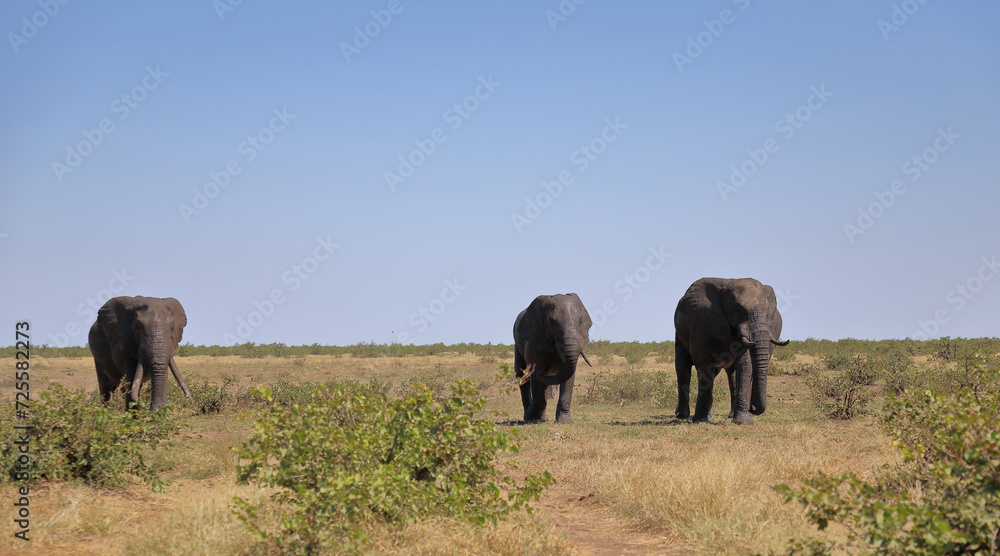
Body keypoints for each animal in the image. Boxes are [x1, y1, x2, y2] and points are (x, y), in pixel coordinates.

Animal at [512, 294, 588, 424]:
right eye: (551, 323)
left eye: (580, 322)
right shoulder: (534, 338)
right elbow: (534, 373)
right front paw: (532, 417)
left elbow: (569, 376)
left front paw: (565, 422)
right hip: (517, 344)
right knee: (522, 374)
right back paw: (529, 417)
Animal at [676, 278, 784, 426]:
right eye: (738, 310)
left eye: (768, 312)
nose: (752, 407)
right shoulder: (702, 322)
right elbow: (703, 363)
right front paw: (702, 420)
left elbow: (745, 365)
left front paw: (743, 422)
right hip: (679, 332)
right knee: (683, 367)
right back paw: (682, 415)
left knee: (730, 373)